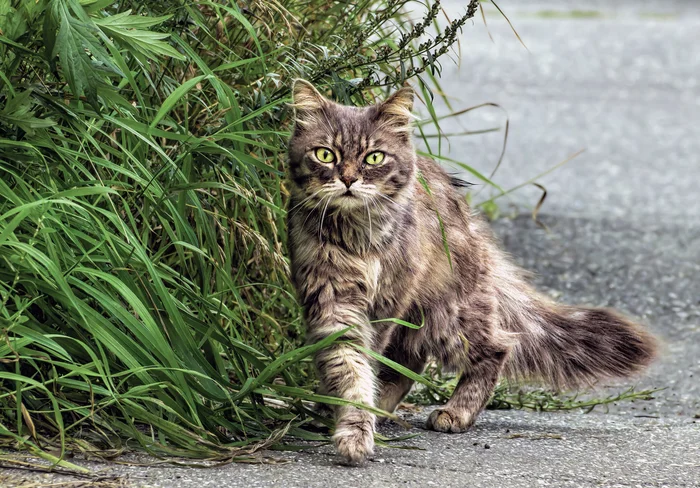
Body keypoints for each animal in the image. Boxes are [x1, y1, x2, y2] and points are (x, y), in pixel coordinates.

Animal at [284, 80, 656, 466]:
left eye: (374, 157)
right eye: (325, 155)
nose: (348, 179)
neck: (356, 235)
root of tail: (470, 219)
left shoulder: (385, 305)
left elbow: (364, 363)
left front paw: (357, 429)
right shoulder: (331, 299)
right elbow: (347, 364)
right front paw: (350, 419)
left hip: (450, 314)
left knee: (495, 348)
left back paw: (455, 412)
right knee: (409, 360)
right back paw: (377, 408)